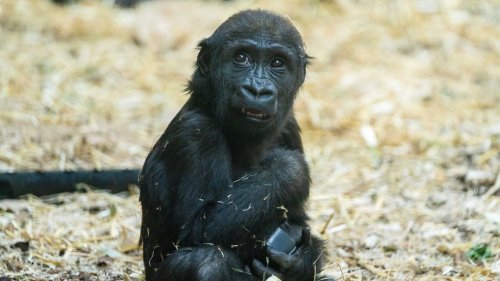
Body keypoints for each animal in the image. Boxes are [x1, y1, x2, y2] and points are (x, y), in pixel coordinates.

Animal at [139, 9, 330, 280]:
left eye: (277, 63)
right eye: (241, 58)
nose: (258, 90)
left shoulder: (290, 128)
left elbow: (298, 222)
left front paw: (300, 260)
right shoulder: (197, 133)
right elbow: (196, 230)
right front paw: (290, 169)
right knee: (207, 261)